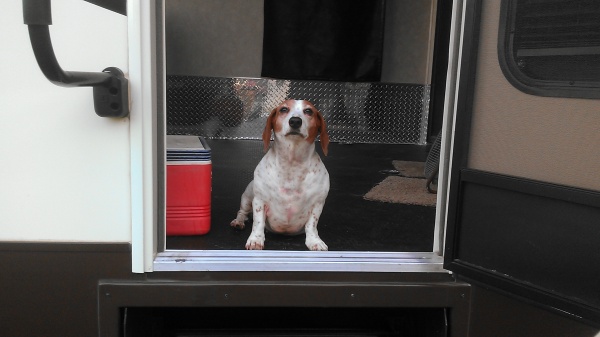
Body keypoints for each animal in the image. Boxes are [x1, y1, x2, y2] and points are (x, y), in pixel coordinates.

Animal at [231, 99, 332, 249]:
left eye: (309, 111)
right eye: (283, 109)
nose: (295, 121)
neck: (292, 164)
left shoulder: (317, 204)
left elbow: (312, 225)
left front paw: (314, 241)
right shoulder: (259, 201)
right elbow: (258, 223)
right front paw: (256, 240)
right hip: (247, 198)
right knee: (242, 212)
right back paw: (239, 222)